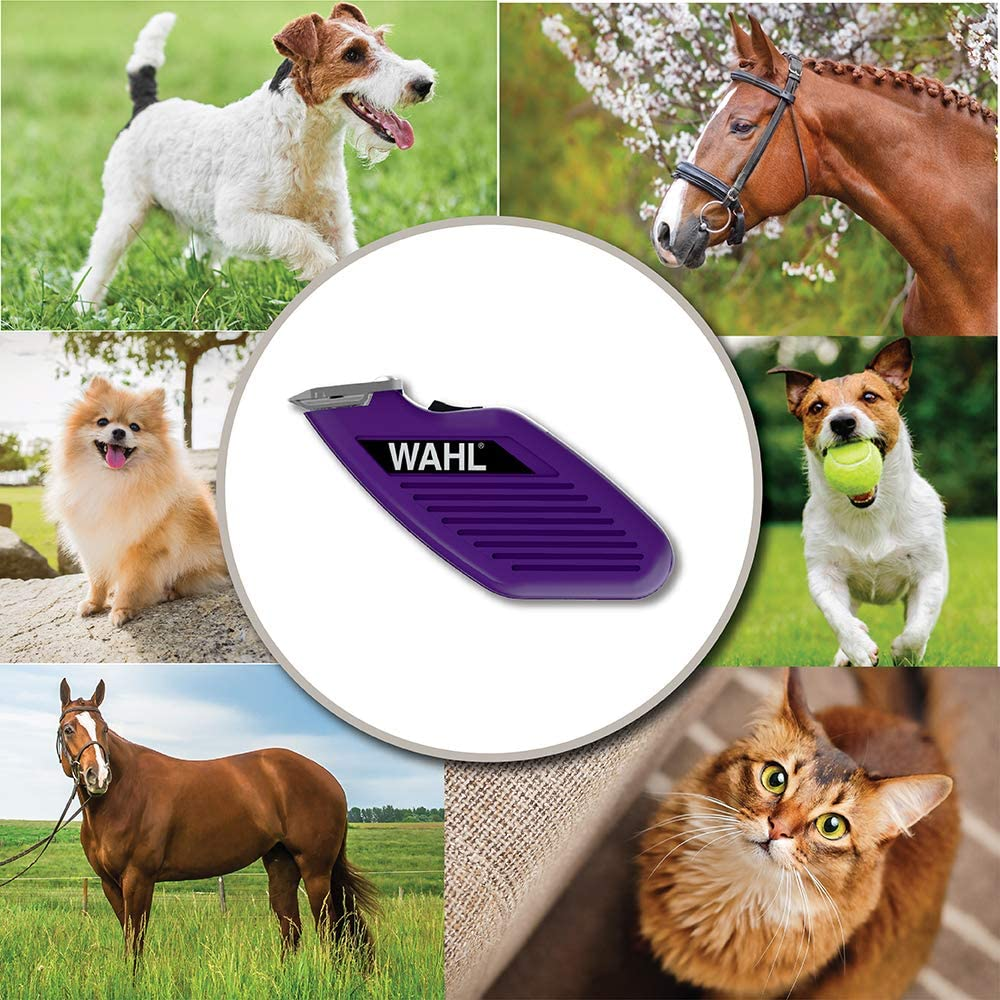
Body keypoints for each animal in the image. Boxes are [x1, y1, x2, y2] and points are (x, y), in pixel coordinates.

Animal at [56, 679, 377, 962]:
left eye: (104, 729)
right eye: (69, 729)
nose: (98, 776)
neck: (126, 792)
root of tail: (329, 779)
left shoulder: (139, 878)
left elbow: (136, 941)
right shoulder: (110, 883)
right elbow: (129, 938)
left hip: (316, 870)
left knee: (329, 929)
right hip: (282, 864)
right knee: (292, 929)